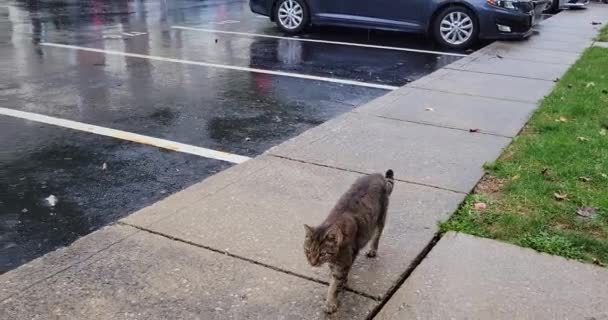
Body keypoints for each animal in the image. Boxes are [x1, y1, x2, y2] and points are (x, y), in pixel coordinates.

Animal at [302, 169, 394, 314]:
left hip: (380, 219)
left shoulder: (343, 264)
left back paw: (373, 249)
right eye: (307, 251)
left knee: (376, 236)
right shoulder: (337, 263)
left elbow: (335, 285)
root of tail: (378, 175)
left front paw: (331, 302)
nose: (312, 263)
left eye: (322, 254)